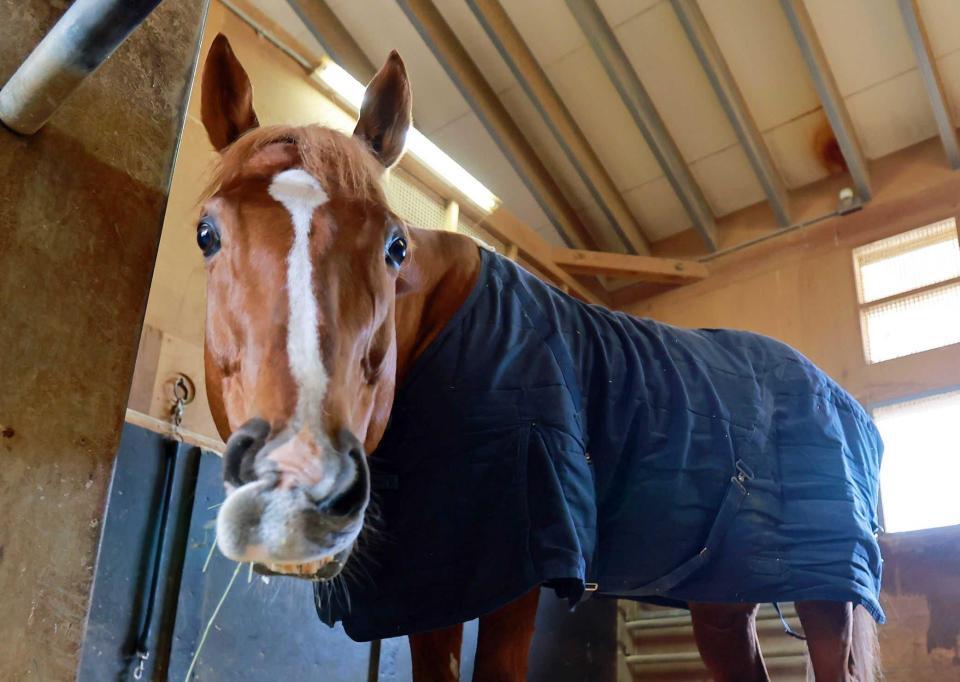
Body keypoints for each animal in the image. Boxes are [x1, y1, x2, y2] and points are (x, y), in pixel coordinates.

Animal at [197, 34, 883, 681]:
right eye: (206, 233)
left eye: (395, 246)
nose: (298, 488)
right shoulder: (430, 585)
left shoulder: (518, 567)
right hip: (725, 601)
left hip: (830, 598)